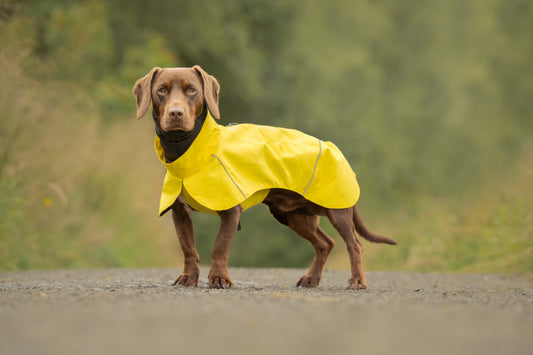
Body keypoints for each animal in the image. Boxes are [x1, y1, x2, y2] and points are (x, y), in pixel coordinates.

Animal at [131, 65, 392, 290]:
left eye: (192, 90)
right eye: (161, 90)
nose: (176, 113)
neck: (190, 151)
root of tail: (332, 147)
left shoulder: (231, 212)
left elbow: (219, 247)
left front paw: (219, 279)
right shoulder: (179, 212)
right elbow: (188, 248)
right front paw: (188, 277)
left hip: (337, 211)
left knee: (354, 245)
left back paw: (357, 281)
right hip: (294, 215)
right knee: (325, 243)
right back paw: (311, 279)